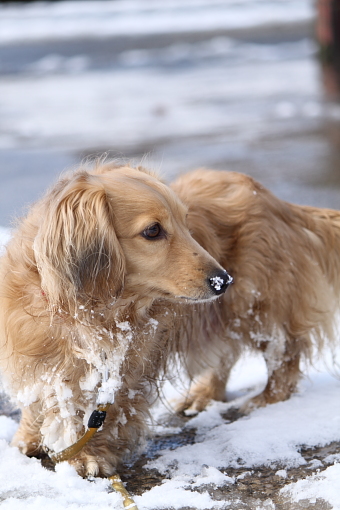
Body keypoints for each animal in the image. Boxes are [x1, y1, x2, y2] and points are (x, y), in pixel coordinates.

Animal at [0, 163, 231, 478]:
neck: (77, 310)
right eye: (153, 230)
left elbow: (96, 414)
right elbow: (39, 398)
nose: (224, 281)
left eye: (186, 222)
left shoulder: (123, 372)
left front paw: (87, 455)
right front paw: (29, 438)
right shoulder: (42, 361)